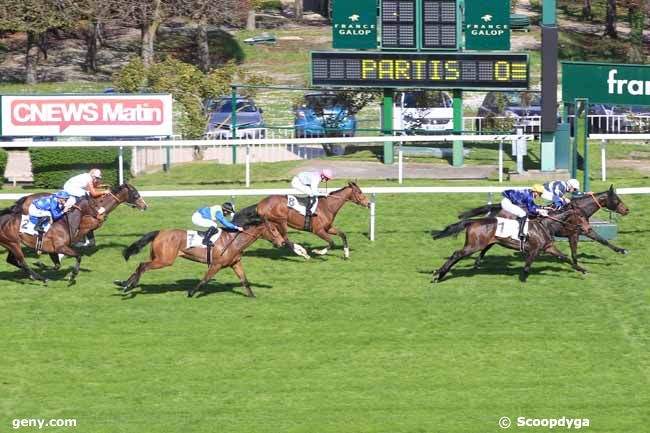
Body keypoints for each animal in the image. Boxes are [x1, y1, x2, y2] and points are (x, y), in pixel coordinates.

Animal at [114, 219, 286, 296]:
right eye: (273, 229)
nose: (282, 243)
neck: (234, 241)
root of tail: (160, 232)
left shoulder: (235, 263)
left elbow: (244, 280)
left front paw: (251, 295)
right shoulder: (216, 265)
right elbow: (205, 279)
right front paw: (191, 293)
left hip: (160, 259)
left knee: (140, 266)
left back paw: (124, 283)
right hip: (164, 260)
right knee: (143, 265)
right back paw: (131, 285)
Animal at [430, 207, 592, 284]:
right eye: (581, 216)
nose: (589, 229)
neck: (545, 224)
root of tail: (472, 222)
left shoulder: (548, 247)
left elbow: (565, 258)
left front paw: (582, 270)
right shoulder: (534, 250)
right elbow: (526, 267)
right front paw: (523, 279)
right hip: (474, 245)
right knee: (456, 254)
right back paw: (439, 275)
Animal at [456, 185, 628, 268]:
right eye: (617, 199)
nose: (627, 210)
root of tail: (499, 207)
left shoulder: (581, 231)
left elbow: (596, 242)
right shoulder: (575, 233)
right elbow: (586, 247)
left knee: (487, 245)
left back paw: (478, 262)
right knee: (486, 245)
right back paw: (477, 261)